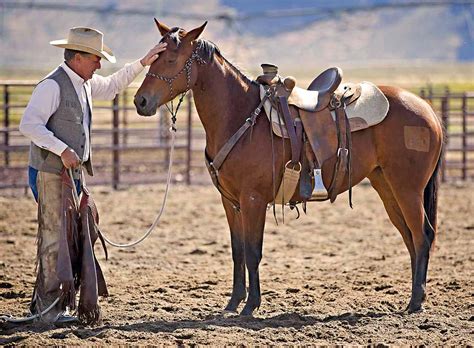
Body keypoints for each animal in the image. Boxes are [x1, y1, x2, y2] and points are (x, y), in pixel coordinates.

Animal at [133, 20, 444, 316]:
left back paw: (416, 301)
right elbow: (237, 252)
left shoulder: (254, 200)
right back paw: (415, 297)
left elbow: (253, 252)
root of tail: (427, 109)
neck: (240, 116)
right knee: (409, 236)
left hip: (408, 189)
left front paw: (251, 305)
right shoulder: (231, 202)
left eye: (171, 59)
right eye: (155, 56)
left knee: (422, 234)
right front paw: (233, 302)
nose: (140, 101)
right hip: (386, 186)